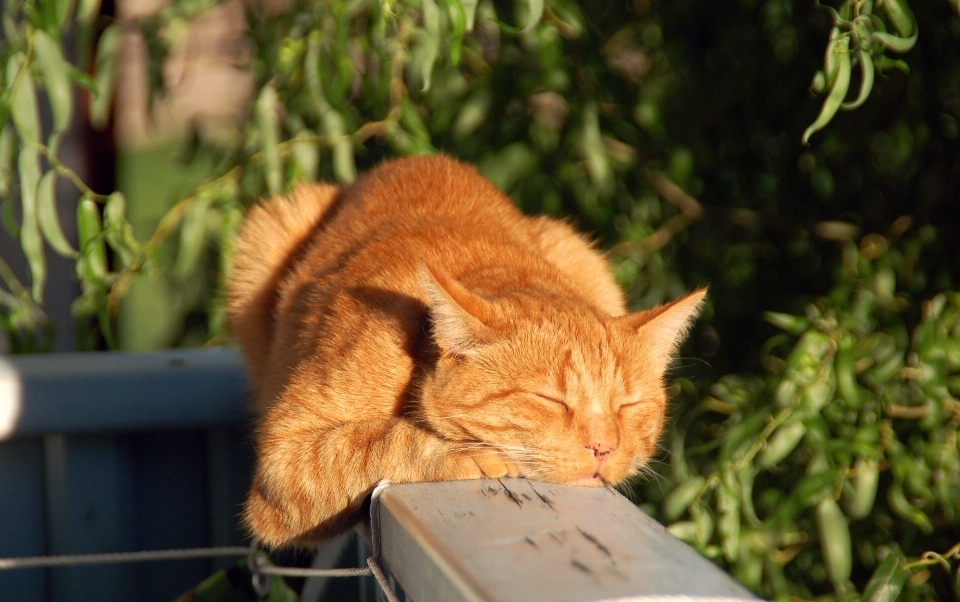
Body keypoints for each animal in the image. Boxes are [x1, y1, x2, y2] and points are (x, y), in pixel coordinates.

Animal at [227, 154, 704, 544]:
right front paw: (464, 451)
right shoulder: (282, 461)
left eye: (628, 405)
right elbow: (377, 442)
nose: (603, 448)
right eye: (550, 399)